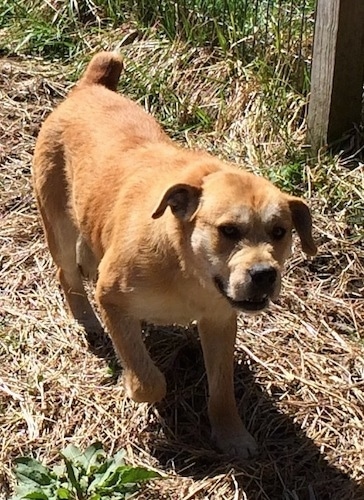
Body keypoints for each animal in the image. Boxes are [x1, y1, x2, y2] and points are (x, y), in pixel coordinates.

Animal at [32, 52, 318, 458]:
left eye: (280, 232)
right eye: (228, 231)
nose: (264, 274)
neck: (187, 270)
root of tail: (90, 87)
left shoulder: (219, 321)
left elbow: (222, 389)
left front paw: (231, 433)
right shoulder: (112, 298)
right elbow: (149, 377)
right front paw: (135, 387)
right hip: (56, 220)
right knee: (66, 273)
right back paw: (85, 317)